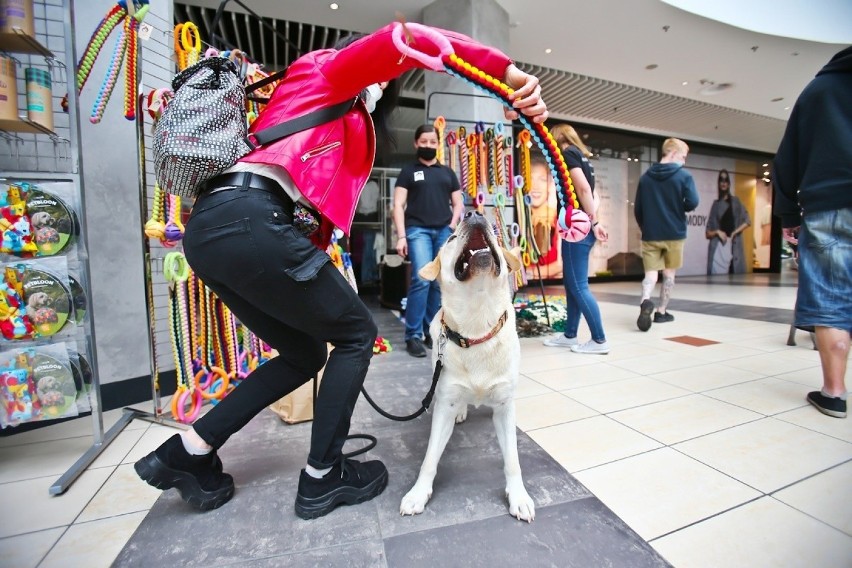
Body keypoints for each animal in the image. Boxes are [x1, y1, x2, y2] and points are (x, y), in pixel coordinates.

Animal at [398, 210, 532, 524]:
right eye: (450, 238)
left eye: (495, 233)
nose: (474, 213)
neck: (476, 327)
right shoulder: (444, 405)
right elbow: (430, 458)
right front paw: (418, 493)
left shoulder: (505, 407)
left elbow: (513, 460)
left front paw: (518, 497)